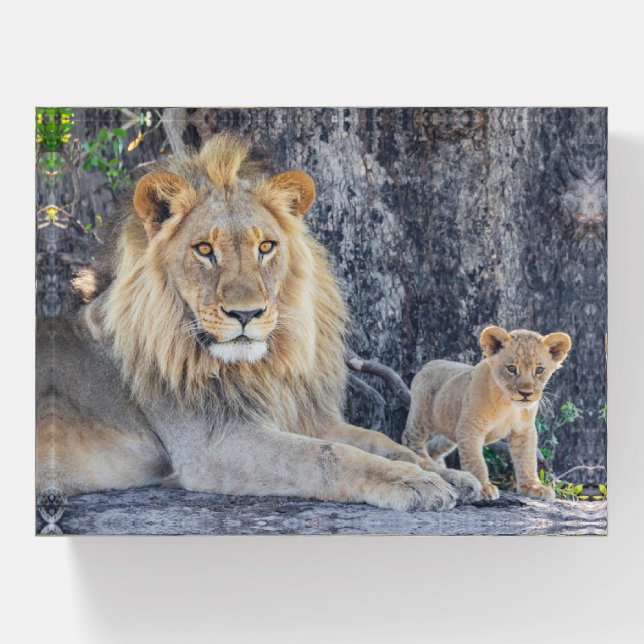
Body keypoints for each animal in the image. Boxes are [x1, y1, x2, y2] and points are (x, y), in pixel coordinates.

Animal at [36, 133, 481, 523]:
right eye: (204, 250)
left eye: (265, 247)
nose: (246, 314)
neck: (258, 369)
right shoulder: (212, 445)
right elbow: (327, 455)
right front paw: (413, 482)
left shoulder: (300, 417)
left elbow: (380, 441)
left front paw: (447, 474)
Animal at [402, 326, 571, 501]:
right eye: (511, 368)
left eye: (539, 370)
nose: (526, 393)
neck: (508, 404)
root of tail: (429, 363)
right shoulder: (470, 428)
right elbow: (475, 461)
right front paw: (483, 487)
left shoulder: (523, 430)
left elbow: (527, 459)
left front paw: (532, 487)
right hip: (422, 417)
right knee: (410, 439)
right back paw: (425, 461)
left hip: (450, 429)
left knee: (434, 446)